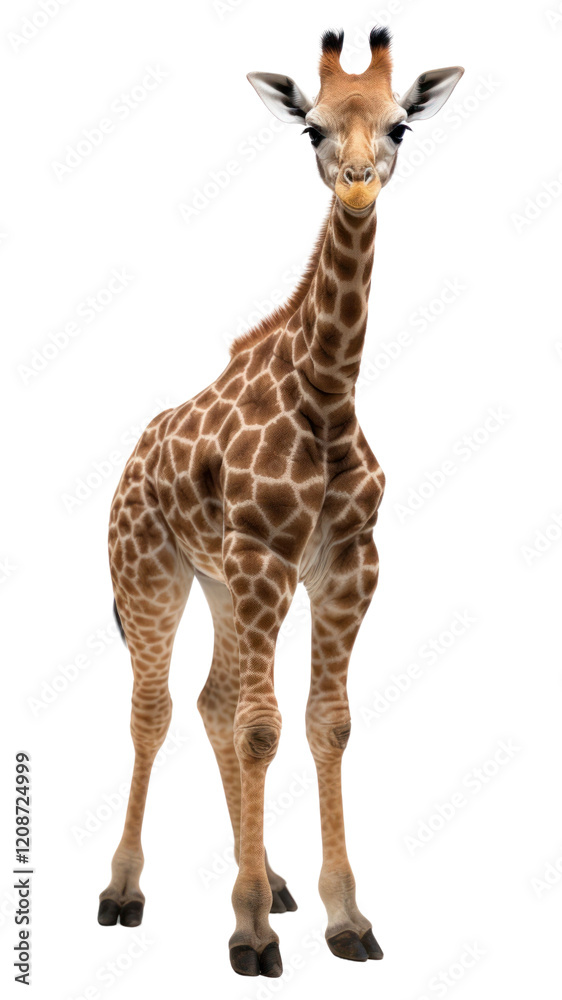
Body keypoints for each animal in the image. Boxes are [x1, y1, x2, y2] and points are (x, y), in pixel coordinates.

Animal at [97, 27, 464, 978]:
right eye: (313, 129)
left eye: (401, 124)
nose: (359, 181)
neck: (327, 395)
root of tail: (131, 460)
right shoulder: (267, 559)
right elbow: (263, 729)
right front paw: (252, 934)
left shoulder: (347, 564)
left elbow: (324, 723)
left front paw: (344, 919)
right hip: (153, 574)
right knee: (155, 710)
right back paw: (125, 892)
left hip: (223, 585)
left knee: (211, 703)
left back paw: (273, 879)